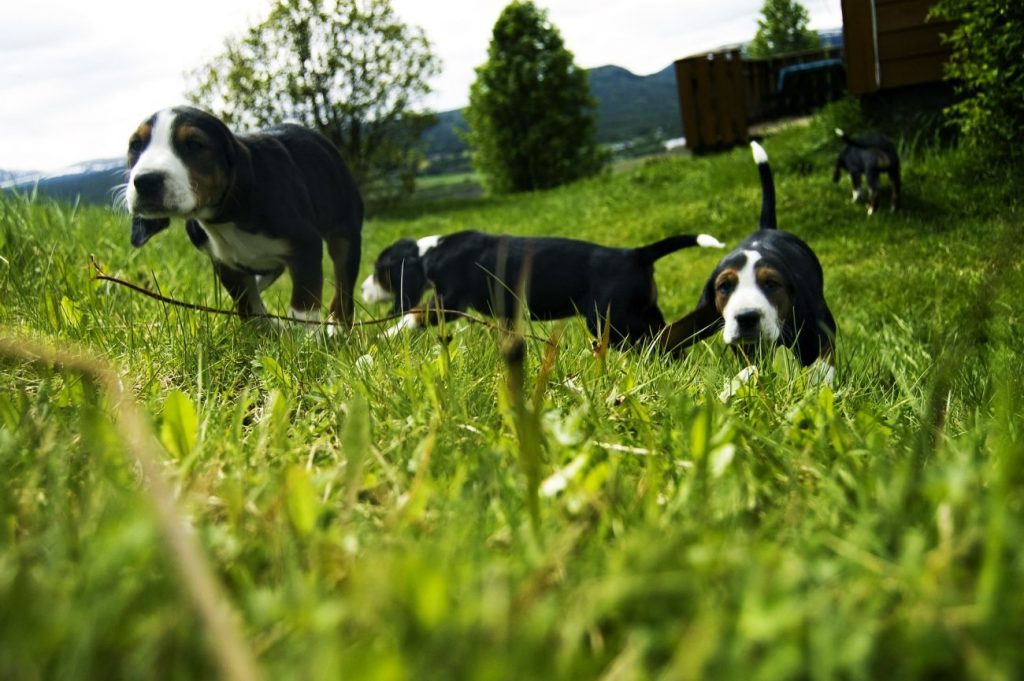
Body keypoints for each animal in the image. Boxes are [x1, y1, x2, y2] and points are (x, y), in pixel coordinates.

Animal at [124, 104, 364, 329]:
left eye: (193, 144)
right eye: (135, 145)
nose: (146, 181)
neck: (222, 221)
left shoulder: (306, 247)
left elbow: (303, 309)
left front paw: (303, 341)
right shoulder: (225, 265)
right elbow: (249, 308)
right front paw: (270, 330)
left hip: (346, 234)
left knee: (344, 287)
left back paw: (338, 328)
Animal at [364, 229, 724, 346]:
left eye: (379, 271)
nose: (363, 289)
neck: (430, 253)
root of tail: (636, 254)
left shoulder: (450, 301)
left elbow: (415, 313)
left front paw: (384, 335)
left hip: (611, 320)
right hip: (642, 311)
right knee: (669, 339)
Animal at [659, 141, 835, 374]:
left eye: (771, 283)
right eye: (724, 286)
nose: (746, 318)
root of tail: (766, 228)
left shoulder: (822, 329)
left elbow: (823, 364)